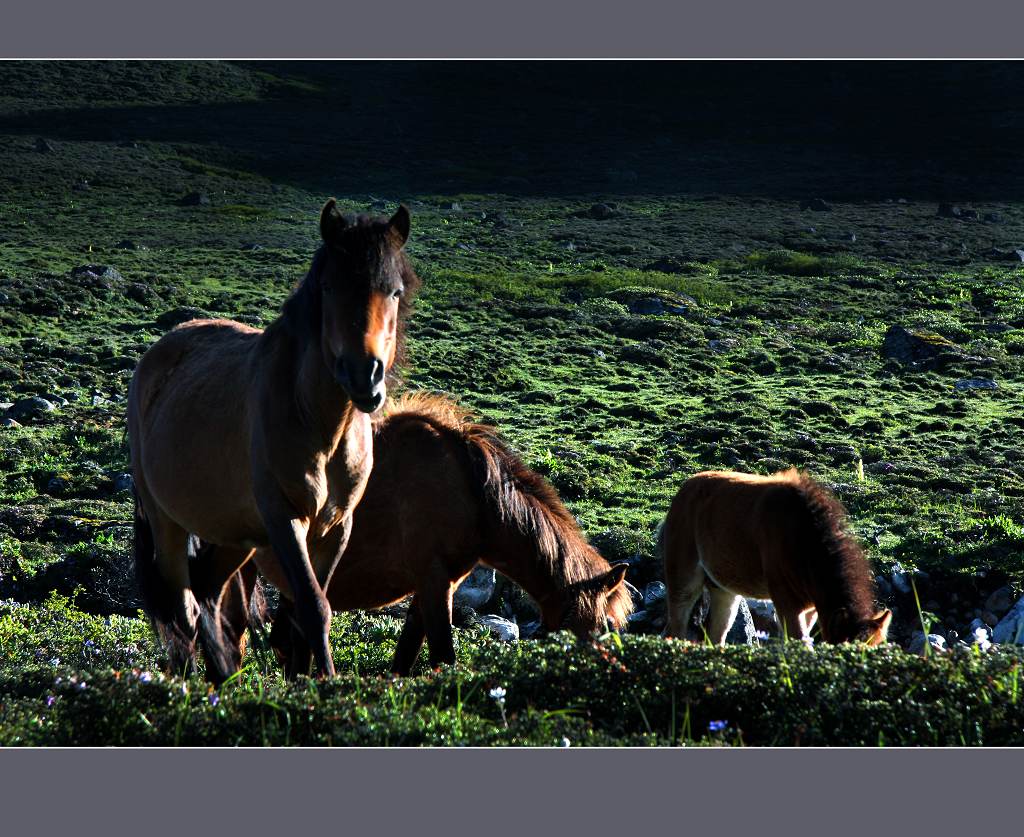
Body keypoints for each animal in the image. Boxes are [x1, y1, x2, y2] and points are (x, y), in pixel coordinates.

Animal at [126, 200, 419, 680]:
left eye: (393, 291)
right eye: (329, 286)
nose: (366, 378)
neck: (321, 422)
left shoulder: (336, 527)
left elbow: (307, 609)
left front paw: (309, 679)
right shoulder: (285, 519)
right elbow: (314, 606)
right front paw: (326, 680)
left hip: (234, 535)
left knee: (207, 593)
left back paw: (223, 677)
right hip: (167, 521)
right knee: (181, 609)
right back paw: (190, 682)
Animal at [217, 393, 630, 680]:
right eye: (599, 629)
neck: (473, 494)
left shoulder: (431, 586)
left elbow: (404, 659)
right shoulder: (434, 582)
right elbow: (443, 657)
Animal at [663, 471, 888, 647]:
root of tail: (683, 490)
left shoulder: (811, 608)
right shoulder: (786, 601)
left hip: (724, 592)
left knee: (716, 636)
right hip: (683, 582)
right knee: (676, 629)